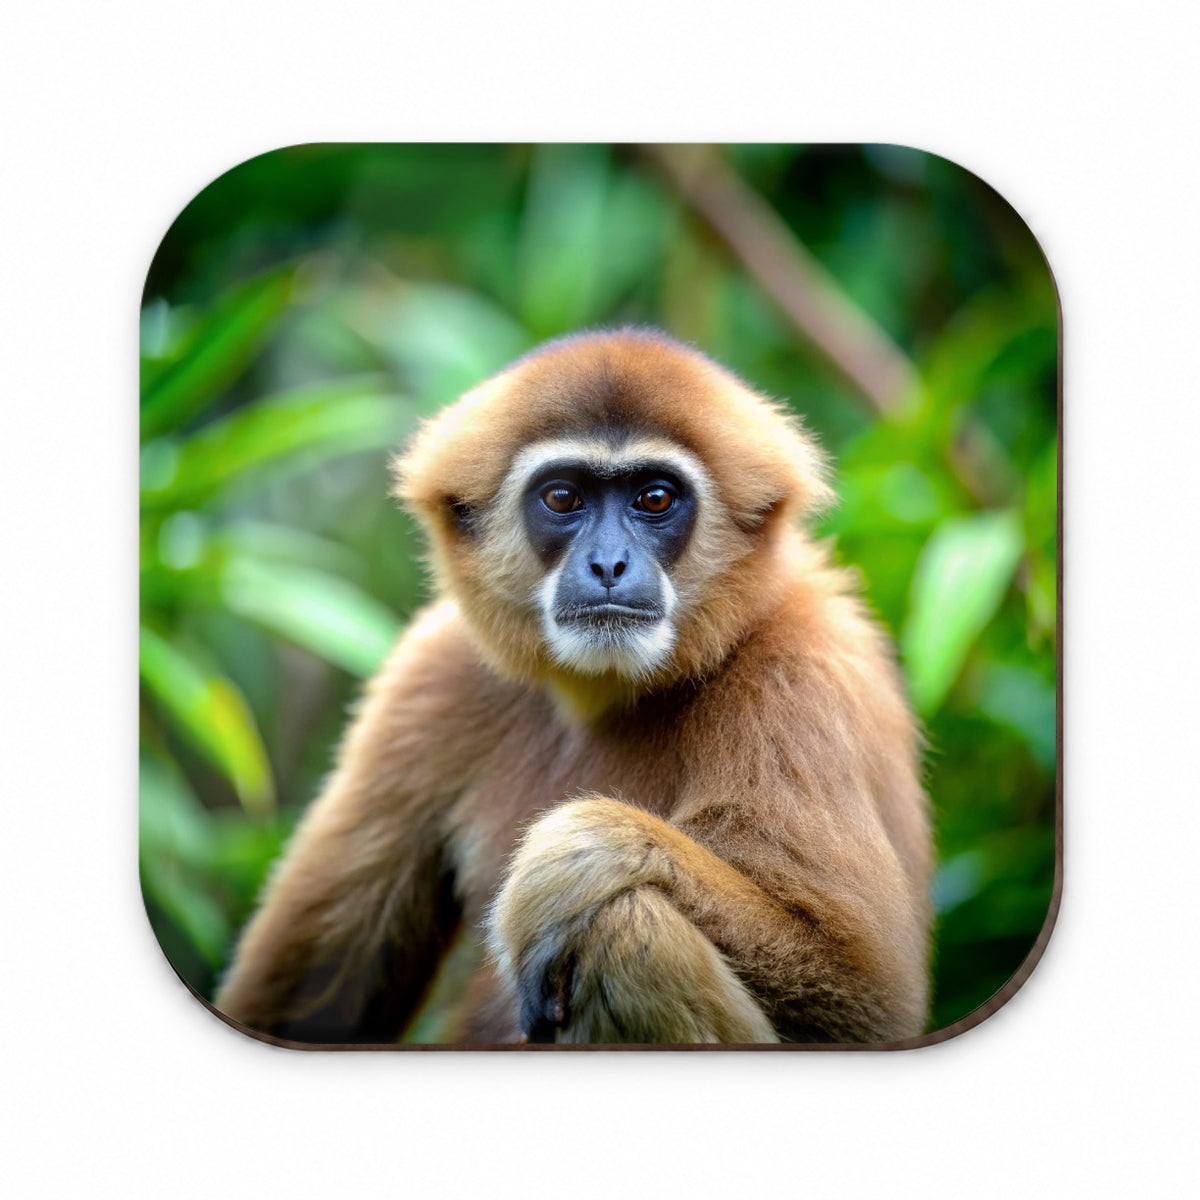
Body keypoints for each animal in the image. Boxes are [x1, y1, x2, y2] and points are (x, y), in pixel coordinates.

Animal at [214, 328, 933, 1045]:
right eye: (563, 498)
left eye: (654, 499)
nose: (608, 562)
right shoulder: (432, 671)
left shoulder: (797, 673)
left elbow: (866, 994)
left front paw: (575, 857)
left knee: (623, 928)